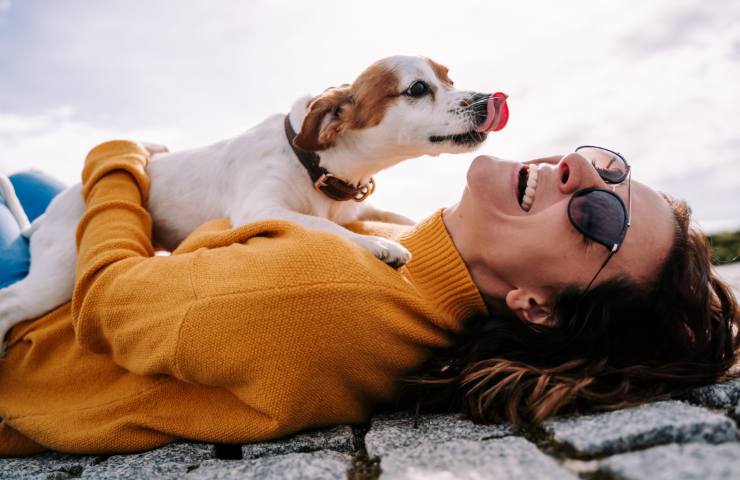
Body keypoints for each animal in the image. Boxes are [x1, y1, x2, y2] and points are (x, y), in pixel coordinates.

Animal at [0, 54, 508, 350]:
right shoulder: (262, 209)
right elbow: (322, 227)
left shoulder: (360, 208)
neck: (318, 166)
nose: (488, 99)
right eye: (417, 89)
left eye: (450, 79)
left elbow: (391, 216)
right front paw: (382, 247)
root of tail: (48, 213)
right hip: (60, 273)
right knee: (10, 303)